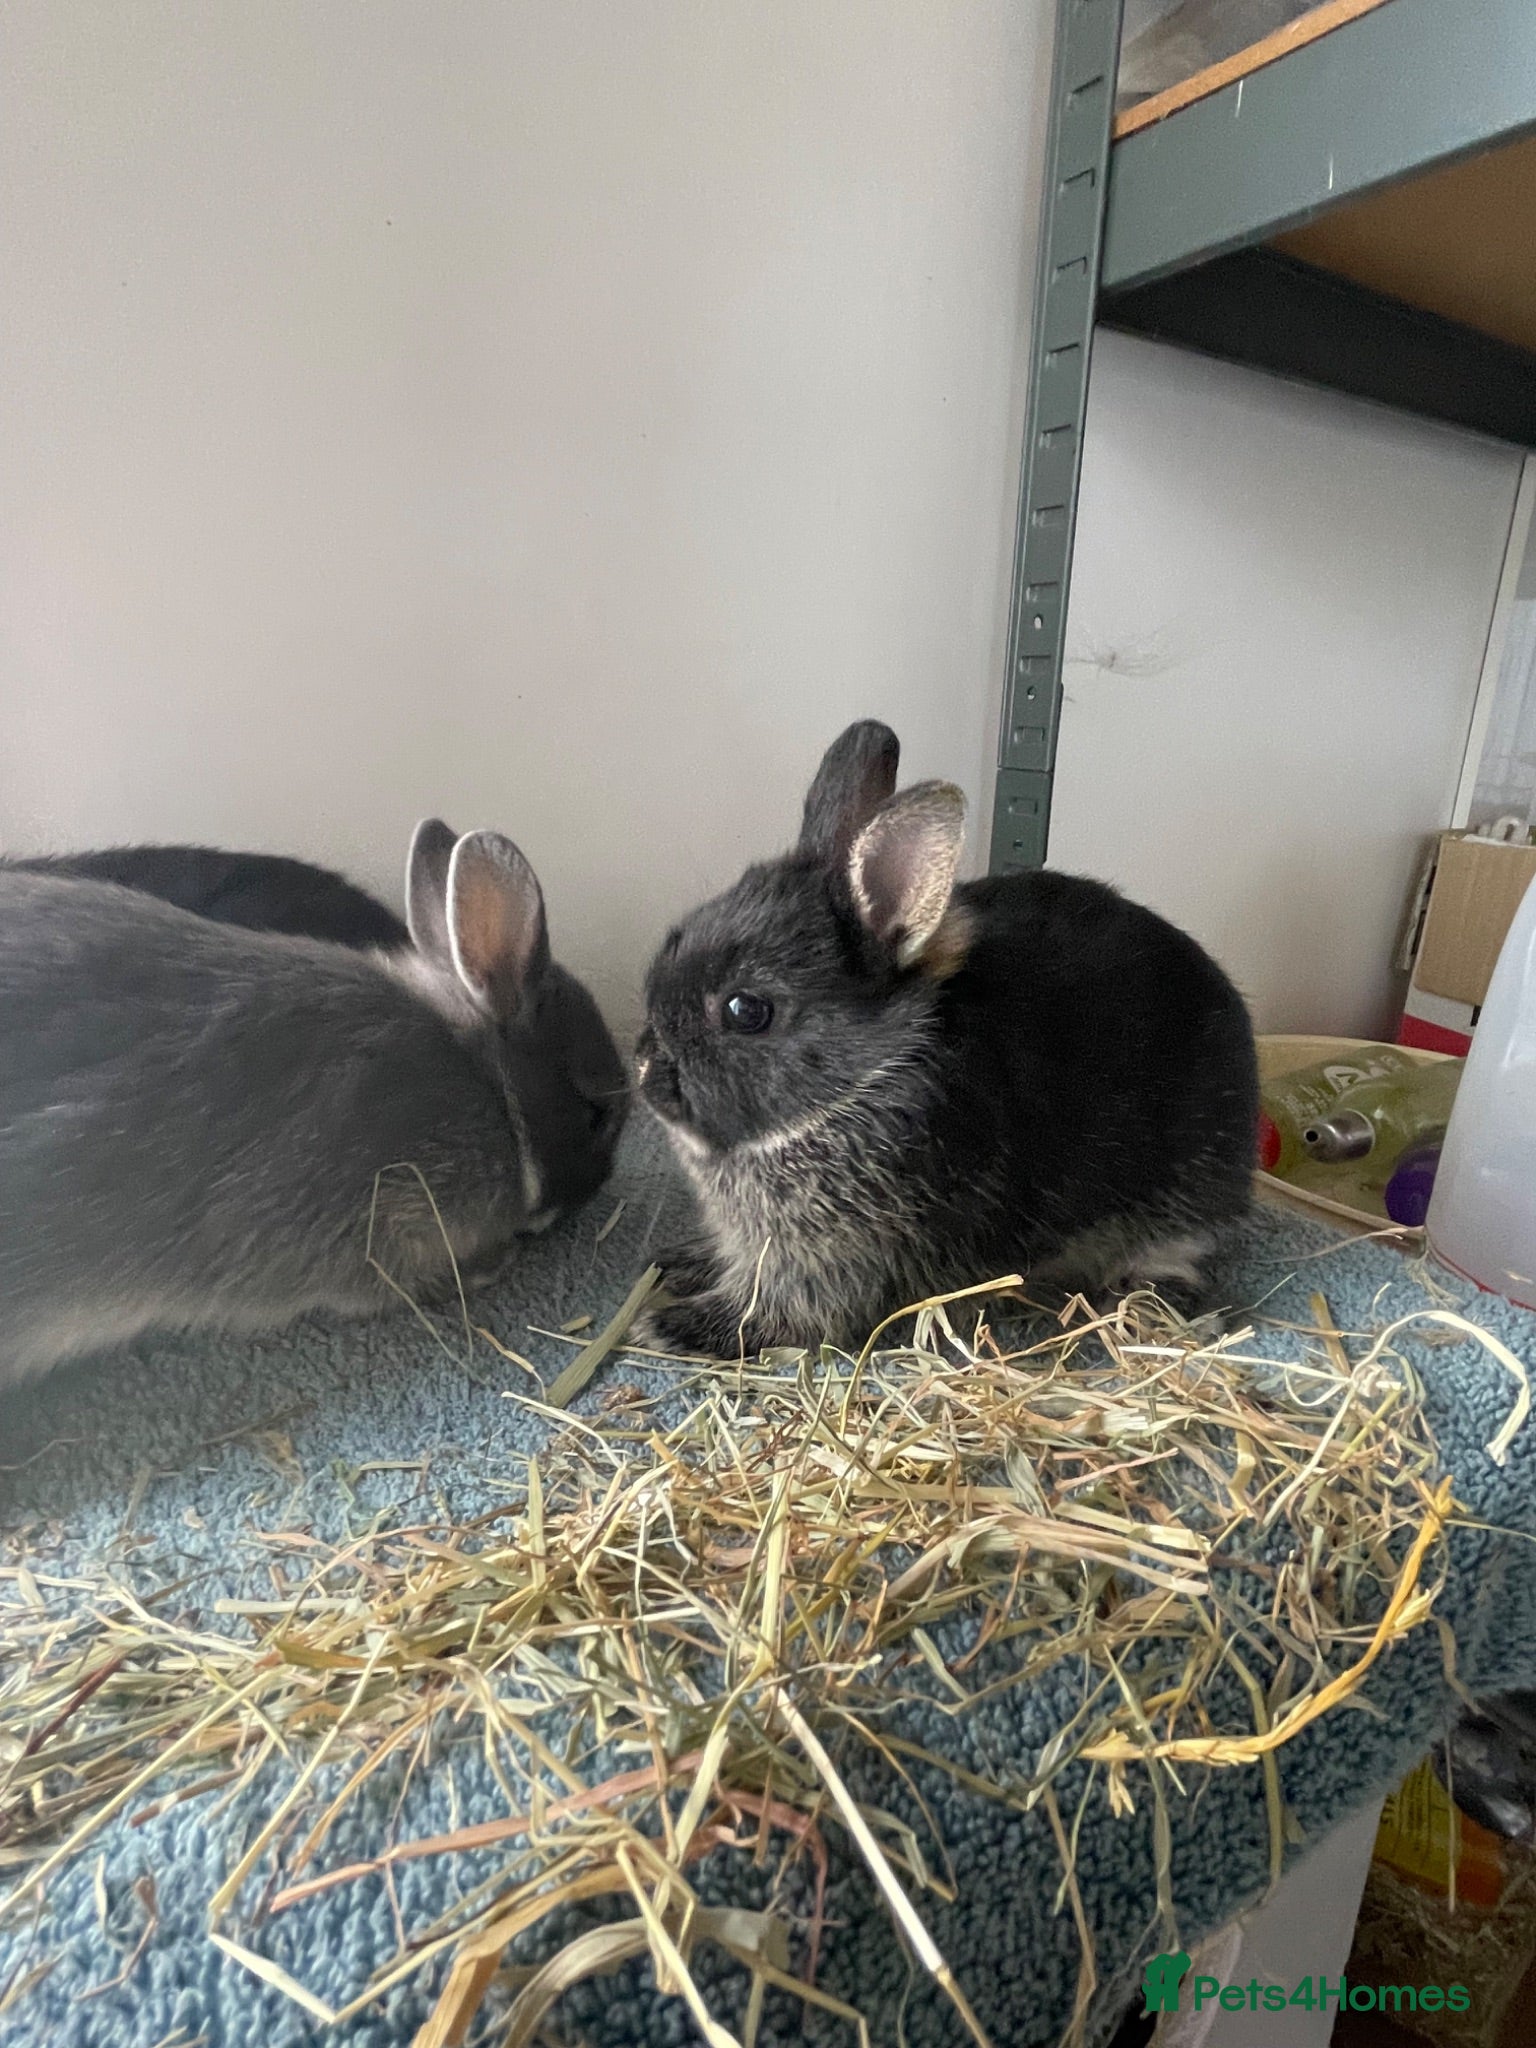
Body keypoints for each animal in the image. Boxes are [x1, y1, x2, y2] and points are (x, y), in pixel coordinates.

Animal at [634, 720, 1258, 1359]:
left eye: (746, 1010)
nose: (642, 1070)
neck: (858, 1087)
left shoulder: (834, 1263)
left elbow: (788, 1312)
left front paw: (673, 1326)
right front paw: (678, 1266)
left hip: (1186, 1190)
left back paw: (1144, 1300)